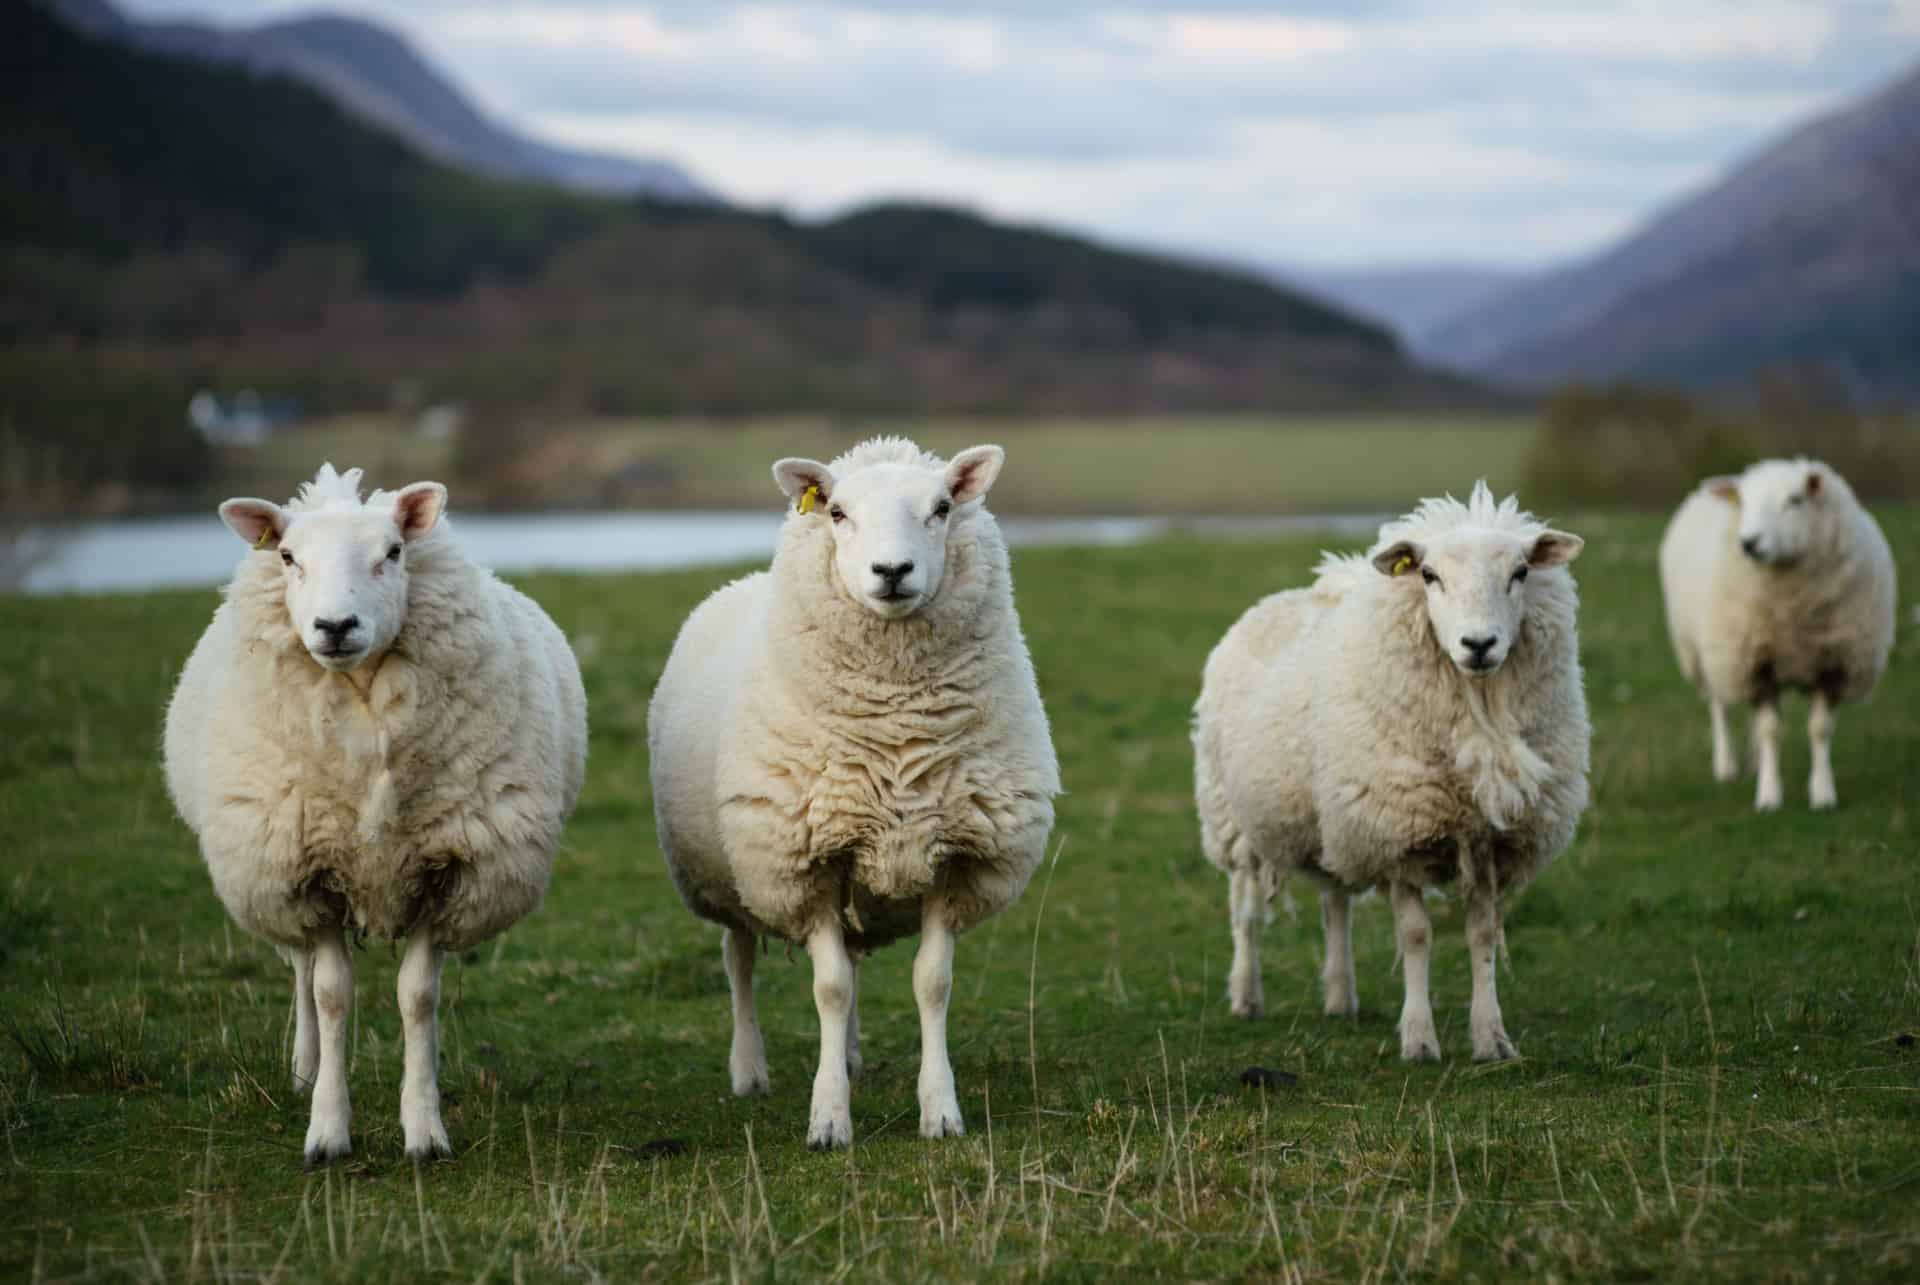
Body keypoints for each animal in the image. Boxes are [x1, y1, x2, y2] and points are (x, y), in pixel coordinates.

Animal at [162, 462, 583, 1160]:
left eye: (393, 552)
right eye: (287, 556)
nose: (335, 626)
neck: (362, 707)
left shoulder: (446, 871)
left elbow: (418, 998)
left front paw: (424, 1127)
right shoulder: (311, 873)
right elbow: (331, 995)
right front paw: (328, 1129)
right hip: (277, 877)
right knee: (302, 972)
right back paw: (305, 1071)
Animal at [652, 436, 1059, 1144]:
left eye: (942, 506)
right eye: (837, 512)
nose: (891, 570)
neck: (896, 727)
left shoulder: (952, 855)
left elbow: (931, 983)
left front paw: (940, 1109)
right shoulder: (805, 860)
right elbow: (830, 990)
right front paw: (828, 1118)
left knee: (850, 955)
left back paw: (847, 1056)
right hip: (733, 873)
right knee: (738, 960)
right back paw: (749, 1069)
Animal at [1190, 480, 1582, 1060]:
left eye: (1521, 573)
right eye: (1429, 575)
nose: (1479, 645)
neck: (1480, 719)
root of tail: (1284, 597)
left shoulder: (1488, 840)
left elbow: (1482, 936)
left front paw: (1491, 1038)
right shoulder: (1400, 834)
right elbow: (1416, 936)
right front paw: (1418, 1039)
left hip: (1333, 817)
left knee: (1334, 902)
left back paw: (1339, 996)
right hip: (1234, 819)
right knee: (1245, 911)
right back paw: (1245, 994)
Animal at [1658, 455, 1896, 806]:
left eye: (1795, 500)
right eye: (1744, 502)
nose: (1749, 543)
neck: (1791, 609)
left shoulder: (1832, 662)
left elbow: (1819, 729)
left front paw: (1822, 792)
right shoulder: (1754, 664)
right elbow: (1770, 729)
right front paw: (1769, 796)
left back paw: (1755, 763)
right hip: (1713, 655)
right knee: (1720, 707)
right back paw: (1727, 766)